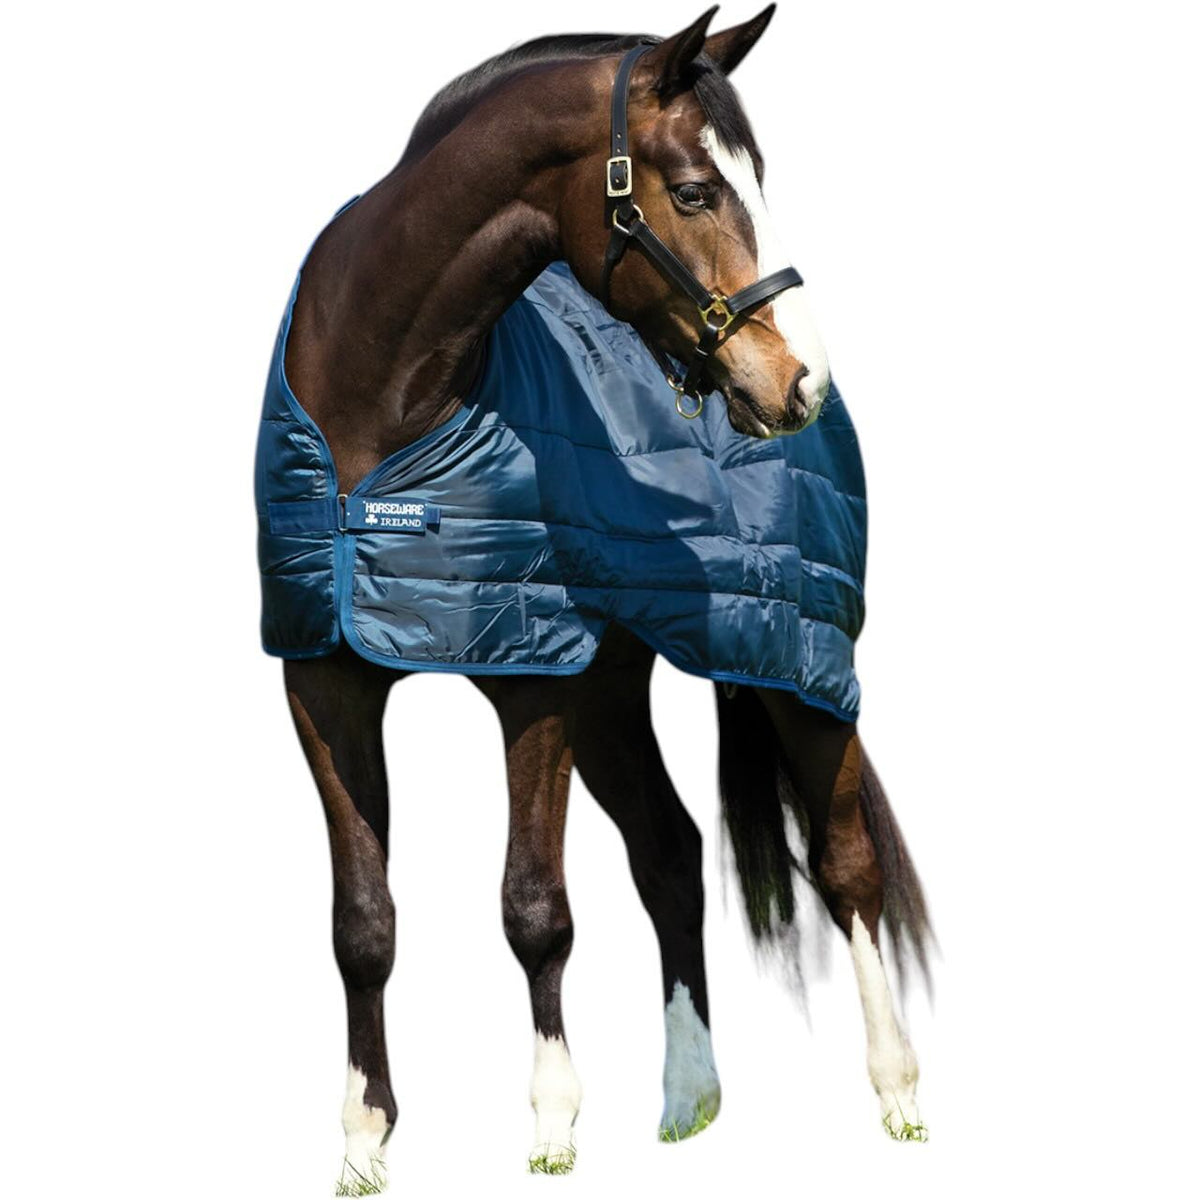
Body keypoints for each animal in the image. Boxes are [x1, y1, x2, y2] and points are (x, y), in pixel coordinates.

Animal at [262, 7, 931, 1189]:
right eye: (698, 191)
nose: (799, 380)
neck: (379, 409)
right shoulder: (325, 678)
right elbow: (361, 922)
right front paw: (363, 1142)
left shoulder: (532, 678)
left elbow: (534, 906)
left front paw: (552, 1126)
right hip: (614, 693)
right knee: (671, 853)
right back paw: (689, 1100)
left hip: (799, 662)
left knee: (847, 866)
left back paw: (896, 1097)